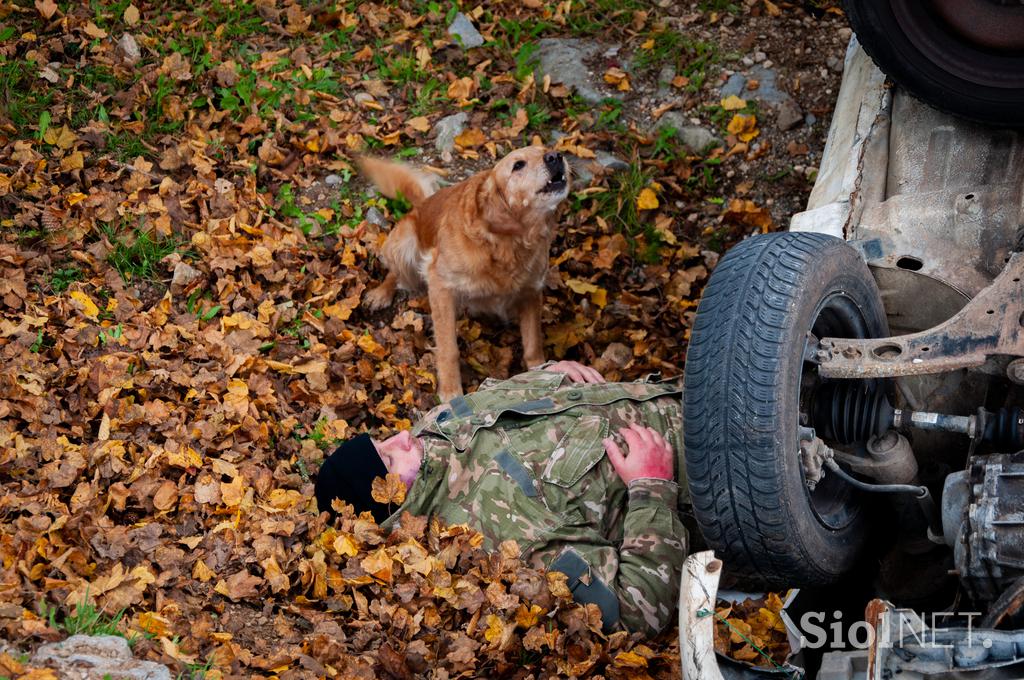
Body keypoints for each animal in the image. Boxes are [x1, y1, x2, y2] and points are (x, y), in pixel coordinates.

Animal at [358, 143, 569, 399]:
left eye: (546, 149)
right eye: (518, 165)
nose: (556, 156)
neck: (506, 242)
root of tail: (422, 204)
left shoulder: (530, 291)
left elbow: (533, 343)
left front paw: (541, 373)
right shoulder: (440, 285)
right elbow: (449, 349)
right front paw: (451, 393)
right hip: (403, 244)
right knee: (396, 274)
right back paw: (381, 294)